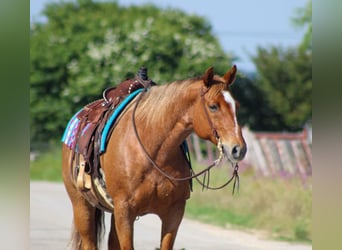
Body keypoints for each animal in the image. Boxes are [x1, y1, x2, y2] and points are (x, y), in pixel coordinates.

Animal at [62, 65, 246, 249]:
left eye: (236, 106)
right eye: (213, 106)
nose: (238, 149)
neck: (152, 152)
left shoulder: (174, 213)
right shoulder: (125, 211)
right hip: (82, 205)